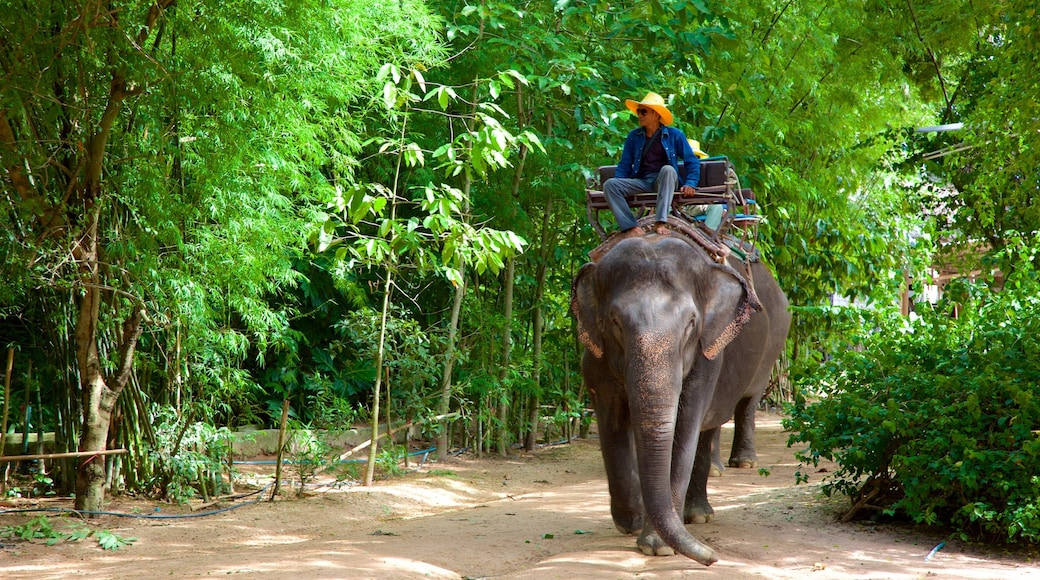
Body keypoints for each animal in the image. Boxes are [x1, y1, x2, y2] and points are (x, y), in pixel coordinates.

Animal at [569, 227, 786, 569]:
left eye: (690, 324)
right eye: (616, 322)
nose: (712, 558)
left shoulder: (708, 354)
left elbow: (685, 426)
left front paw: (656, 545)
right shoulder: (595, 355)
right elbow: (612, 421)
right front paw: (632, 520)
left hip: (772, 346)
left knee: (743, 404)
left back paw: (715, 495)